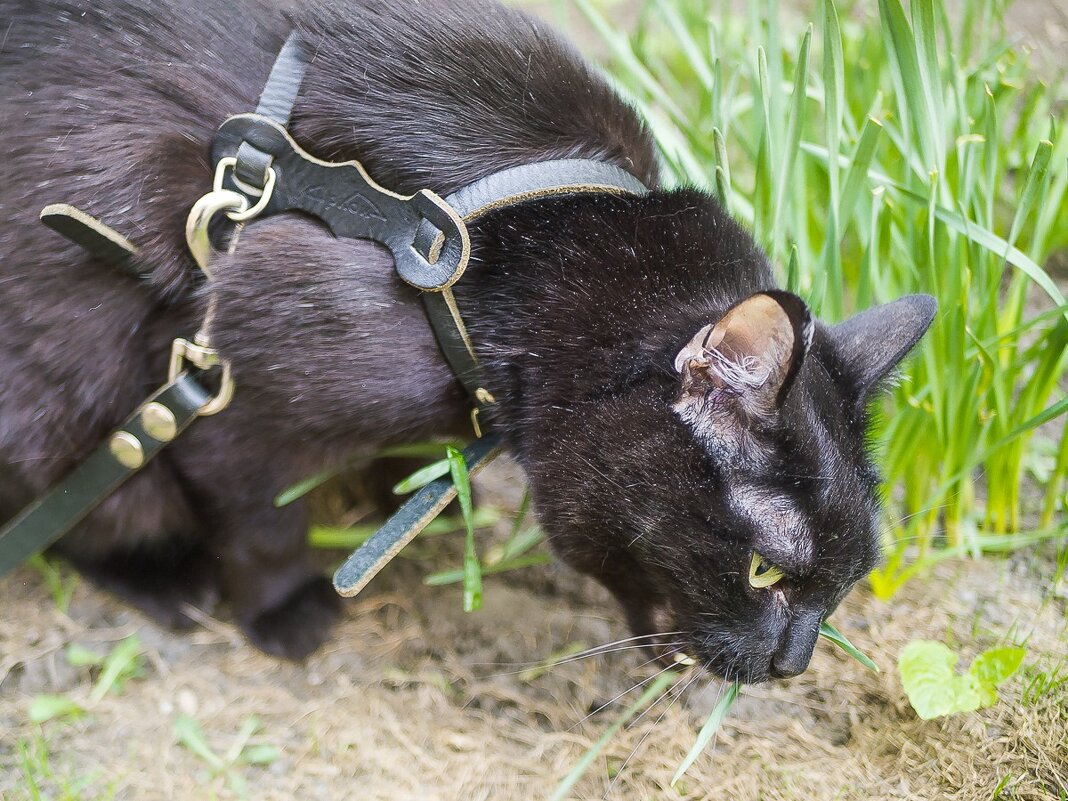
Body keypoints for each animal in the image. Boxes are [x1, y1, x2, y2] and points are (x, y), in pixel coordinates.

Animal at [0, 0, 931, 679]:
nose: (796, 664)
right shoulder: (238, 393)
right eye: (765, 571)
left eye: (848, 582)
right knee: (94, 505)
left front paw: (412, 495)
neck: (527, 241)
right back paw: (169, 579)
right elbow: (261, 521)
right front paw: (287, 612)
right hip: (68, 390)